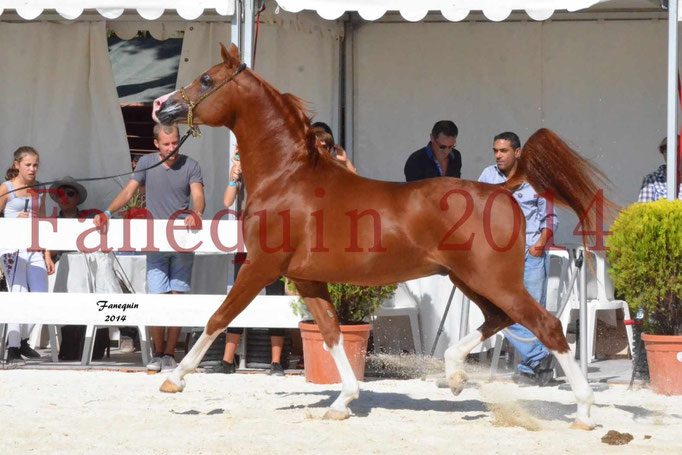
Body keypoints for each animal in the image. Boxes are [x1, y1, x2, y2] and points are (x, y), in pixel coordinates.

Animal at [151, 43, 608, 432]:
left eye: (206, 80)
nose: (161, 108)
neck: (288, 178)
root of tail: (503, 189)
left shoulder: (261, 265)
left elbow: (217, 316)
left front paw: (175, 379)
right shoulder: (307, 278)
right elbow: (331, 332)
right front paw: (343, 402)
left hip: (494, 280)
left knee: (546, 326)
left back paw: (584, 412)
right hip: (468, 279)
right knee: (499, 319)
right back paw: (455, 375)